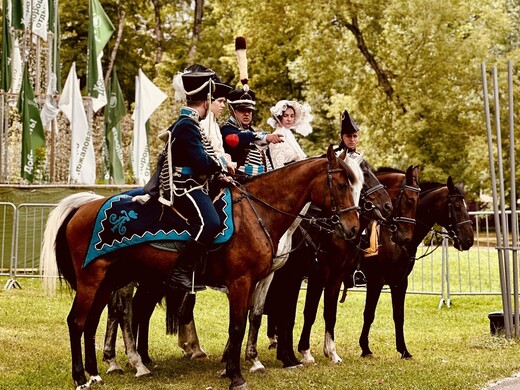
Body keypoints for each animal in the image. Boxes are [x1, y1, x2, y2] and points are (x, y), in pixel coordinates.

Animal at [40, 146, 360, 390]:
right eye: (342, 184)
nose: (354, 229)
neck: (257, 213)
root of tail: (85, 207)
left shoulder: (260, 281)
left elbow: (252, 320)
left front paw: (238, 365)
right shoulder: (241, 282)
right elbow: (238, 325)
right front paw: (236, 375)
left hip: (109, 281)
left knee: (97, 320)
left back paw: (101, 371)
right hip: (94, 281)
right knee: (81, 321)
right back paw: (86, 376)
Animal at [360, 175, 474, 358]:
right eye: (457, 206)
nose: (469, 240)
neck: (392, 237)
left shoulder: (399, 282)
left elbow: (399, 316)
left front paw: (403, 350)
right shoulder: (375, 282)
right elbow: (369, 314)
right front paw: (364, 348)